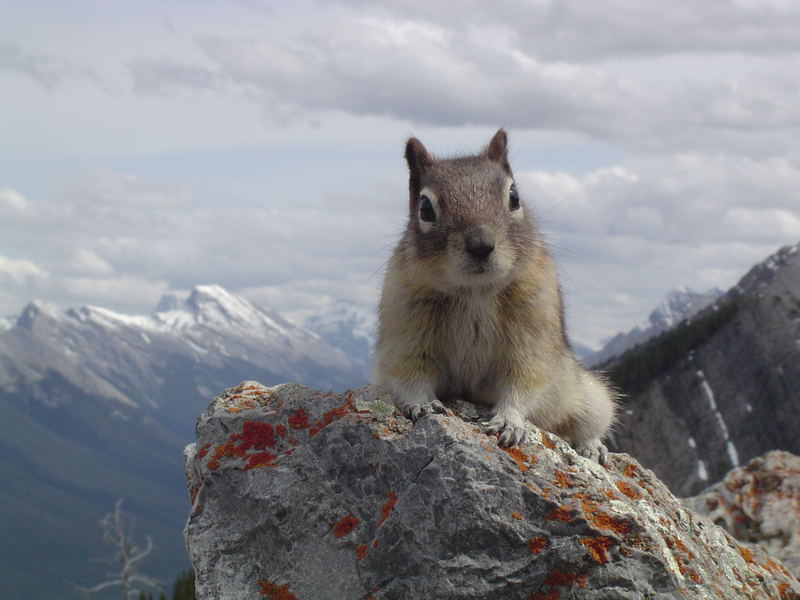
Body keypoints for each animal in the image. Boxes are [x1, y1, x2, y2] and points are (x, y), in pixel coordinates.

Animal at [372, 129, 616, 462]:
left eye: (514, 197)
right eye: (425, 208)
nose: (481, 244)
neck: (474, 291)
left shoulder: (531, 340)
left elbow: (522, 384)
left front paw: (509, 422)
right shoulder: (406, 331)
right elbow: (410, 374)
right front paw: (421, 404)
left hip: (588, 396)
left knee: (587, 422)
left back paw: (592, 447)